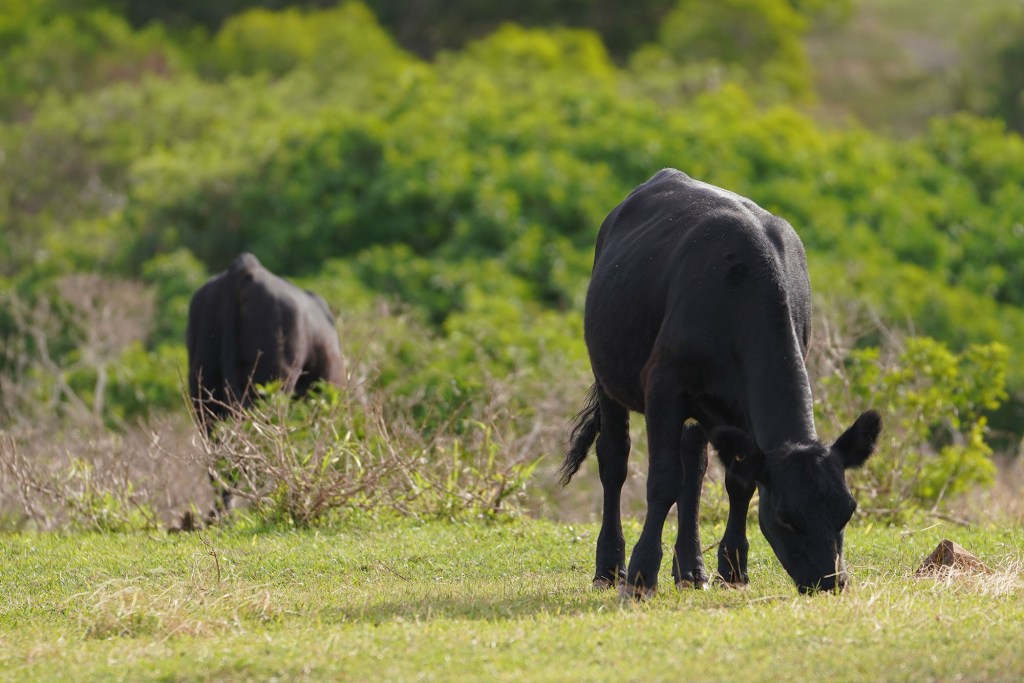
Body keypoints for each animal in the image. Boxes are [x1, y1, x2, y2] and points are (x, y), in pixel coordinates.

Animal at [561, 169, 881, 596]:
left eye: (847, 511)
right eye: (787, 517)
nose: (830, 582)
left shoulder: (739, 409)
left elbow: (738, 483)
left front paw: (732, 568)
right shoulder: (664, 384)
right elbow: (662, 480)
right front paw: (643, 574)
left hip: (703, 409)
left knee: (693, 470)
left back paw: (691, 570)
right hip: (608, 375)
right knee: (615, 459)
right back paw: (610, 568)